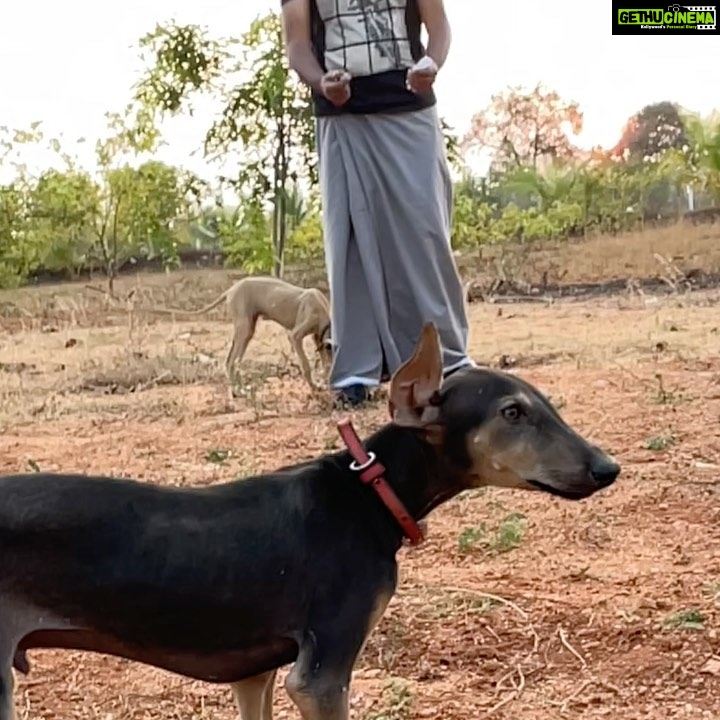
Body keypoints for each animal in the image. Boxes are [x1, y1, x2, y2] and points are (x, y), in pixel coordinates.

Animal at [0, 324, 620, 716]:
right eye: (513, 413)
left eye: (547, 406)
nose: (607, 468)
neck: (369, 496)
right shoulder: (320, 678)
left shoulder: (256, 674)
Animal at [153, 276, 334, 394]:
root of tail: (231, 289)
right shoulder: (295, 336)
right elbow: (306, 364)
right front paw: (314, 386)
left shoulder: (317, 338)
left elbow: (325, 363)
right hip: (244, 327)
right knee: (232, 361)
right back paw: (237, 391)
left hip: (246, 329)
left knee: (230, 361)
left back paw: (239, 388)